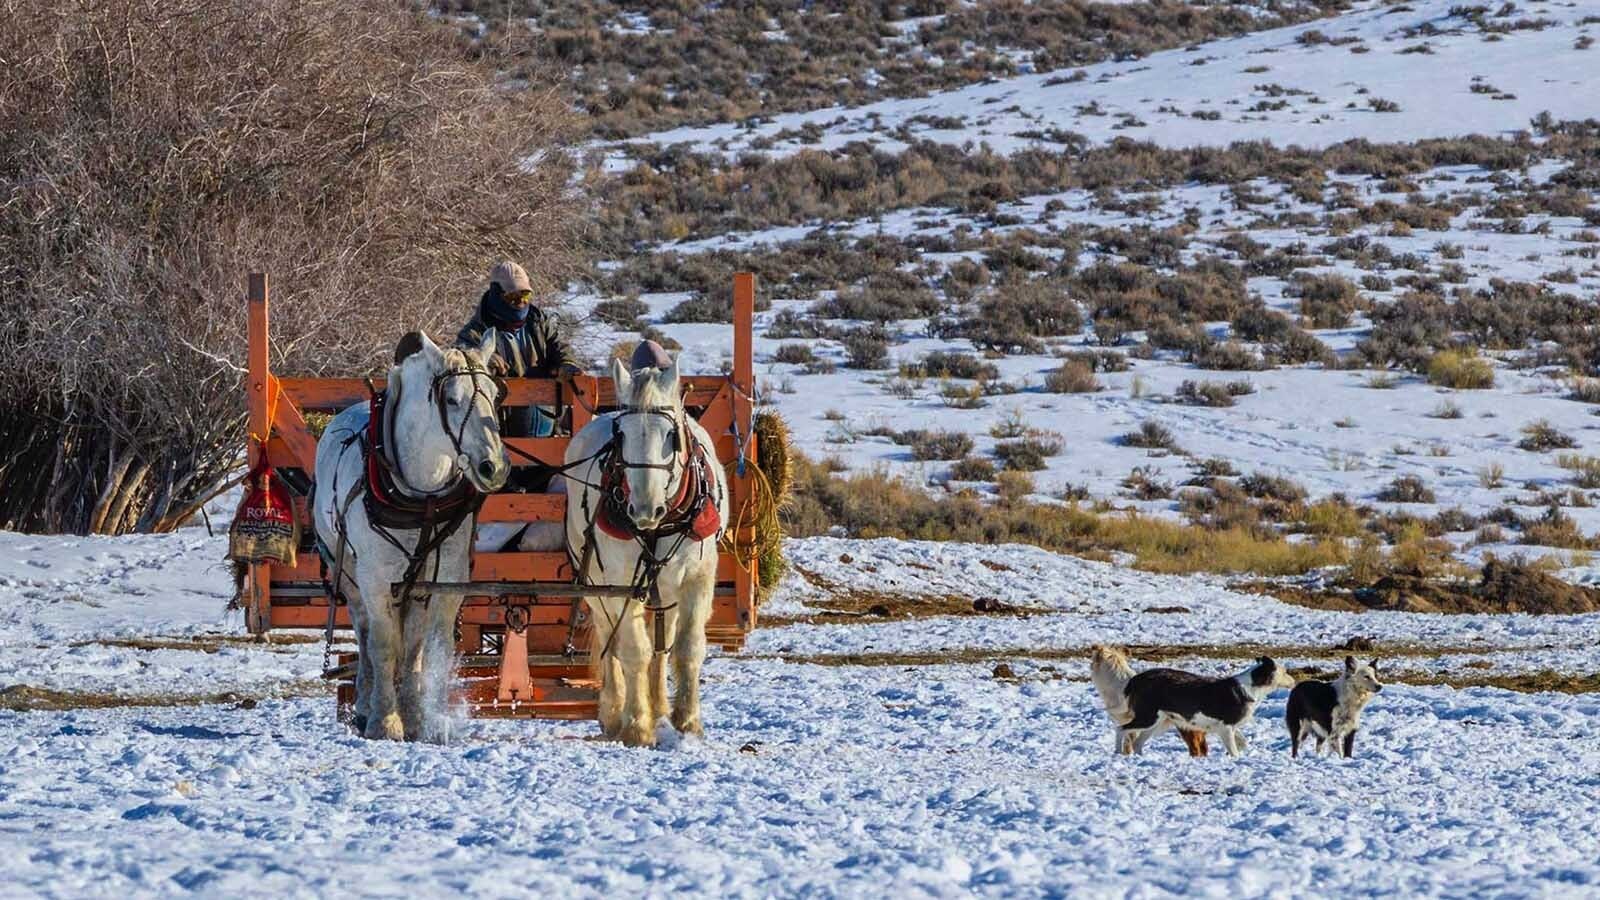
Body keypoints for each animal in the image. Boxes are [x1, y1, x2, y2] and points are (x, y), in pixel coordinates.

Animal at [312, 330, 509, 741]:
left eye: (495, 394)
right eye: (451, 399)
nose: (494, 467)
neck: (424, 497)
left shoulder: (443, 578)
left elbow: (424, 648)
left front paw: (418, 718)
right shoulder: (375, 579)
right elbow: (384, 645)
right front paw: (385, 721)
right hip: (348, 574)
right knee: (364, 633)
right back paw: (365, 703)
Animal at [563, 350, 728, 747]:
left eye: (671, 434)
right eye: (621, 434)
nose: (644, 509)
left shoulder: (697, 578)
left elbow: (687, 648)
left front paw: (688, 720)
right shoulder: (621, 584)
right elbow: (633, 651)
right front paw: (637, 724)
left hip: (664, 588)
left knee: (662, 642)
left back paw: (659, 704)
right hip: (595, 583)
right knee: (610, 638)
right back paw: (614, 711)